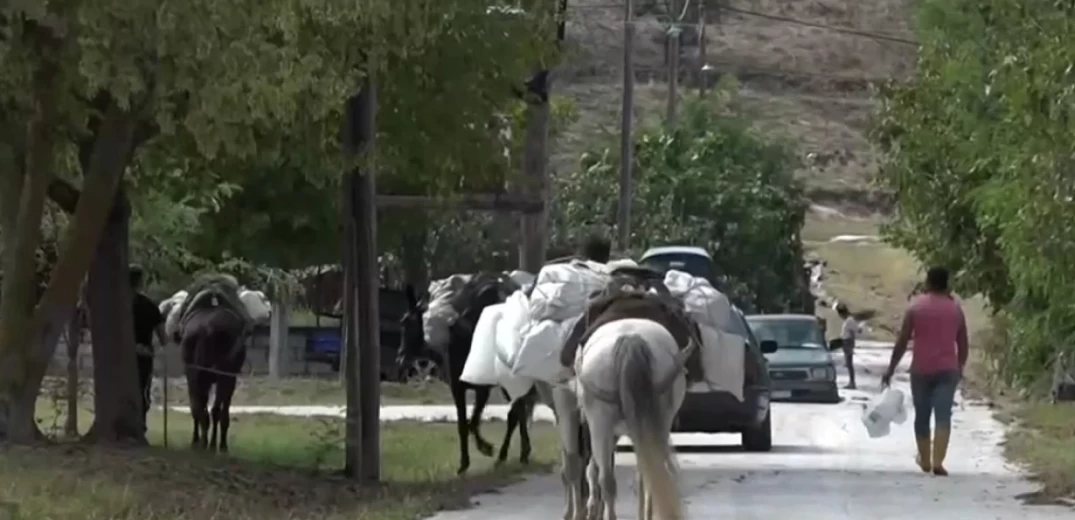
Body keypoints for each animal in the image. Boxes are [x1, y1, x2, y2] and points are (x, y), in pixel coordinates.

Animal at [399, 271, 541, 474]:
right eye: (403, 322)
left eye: (410, 323)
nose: (400, 358)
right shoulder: (458, 388)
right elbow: (463, 424)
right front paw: (464, 463)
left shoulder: (483, 388)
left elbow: (473, 422)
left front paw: (486, 448)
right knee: (520, 411)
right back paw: (522, 453)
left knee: (515, 413)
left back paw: (506, 455)